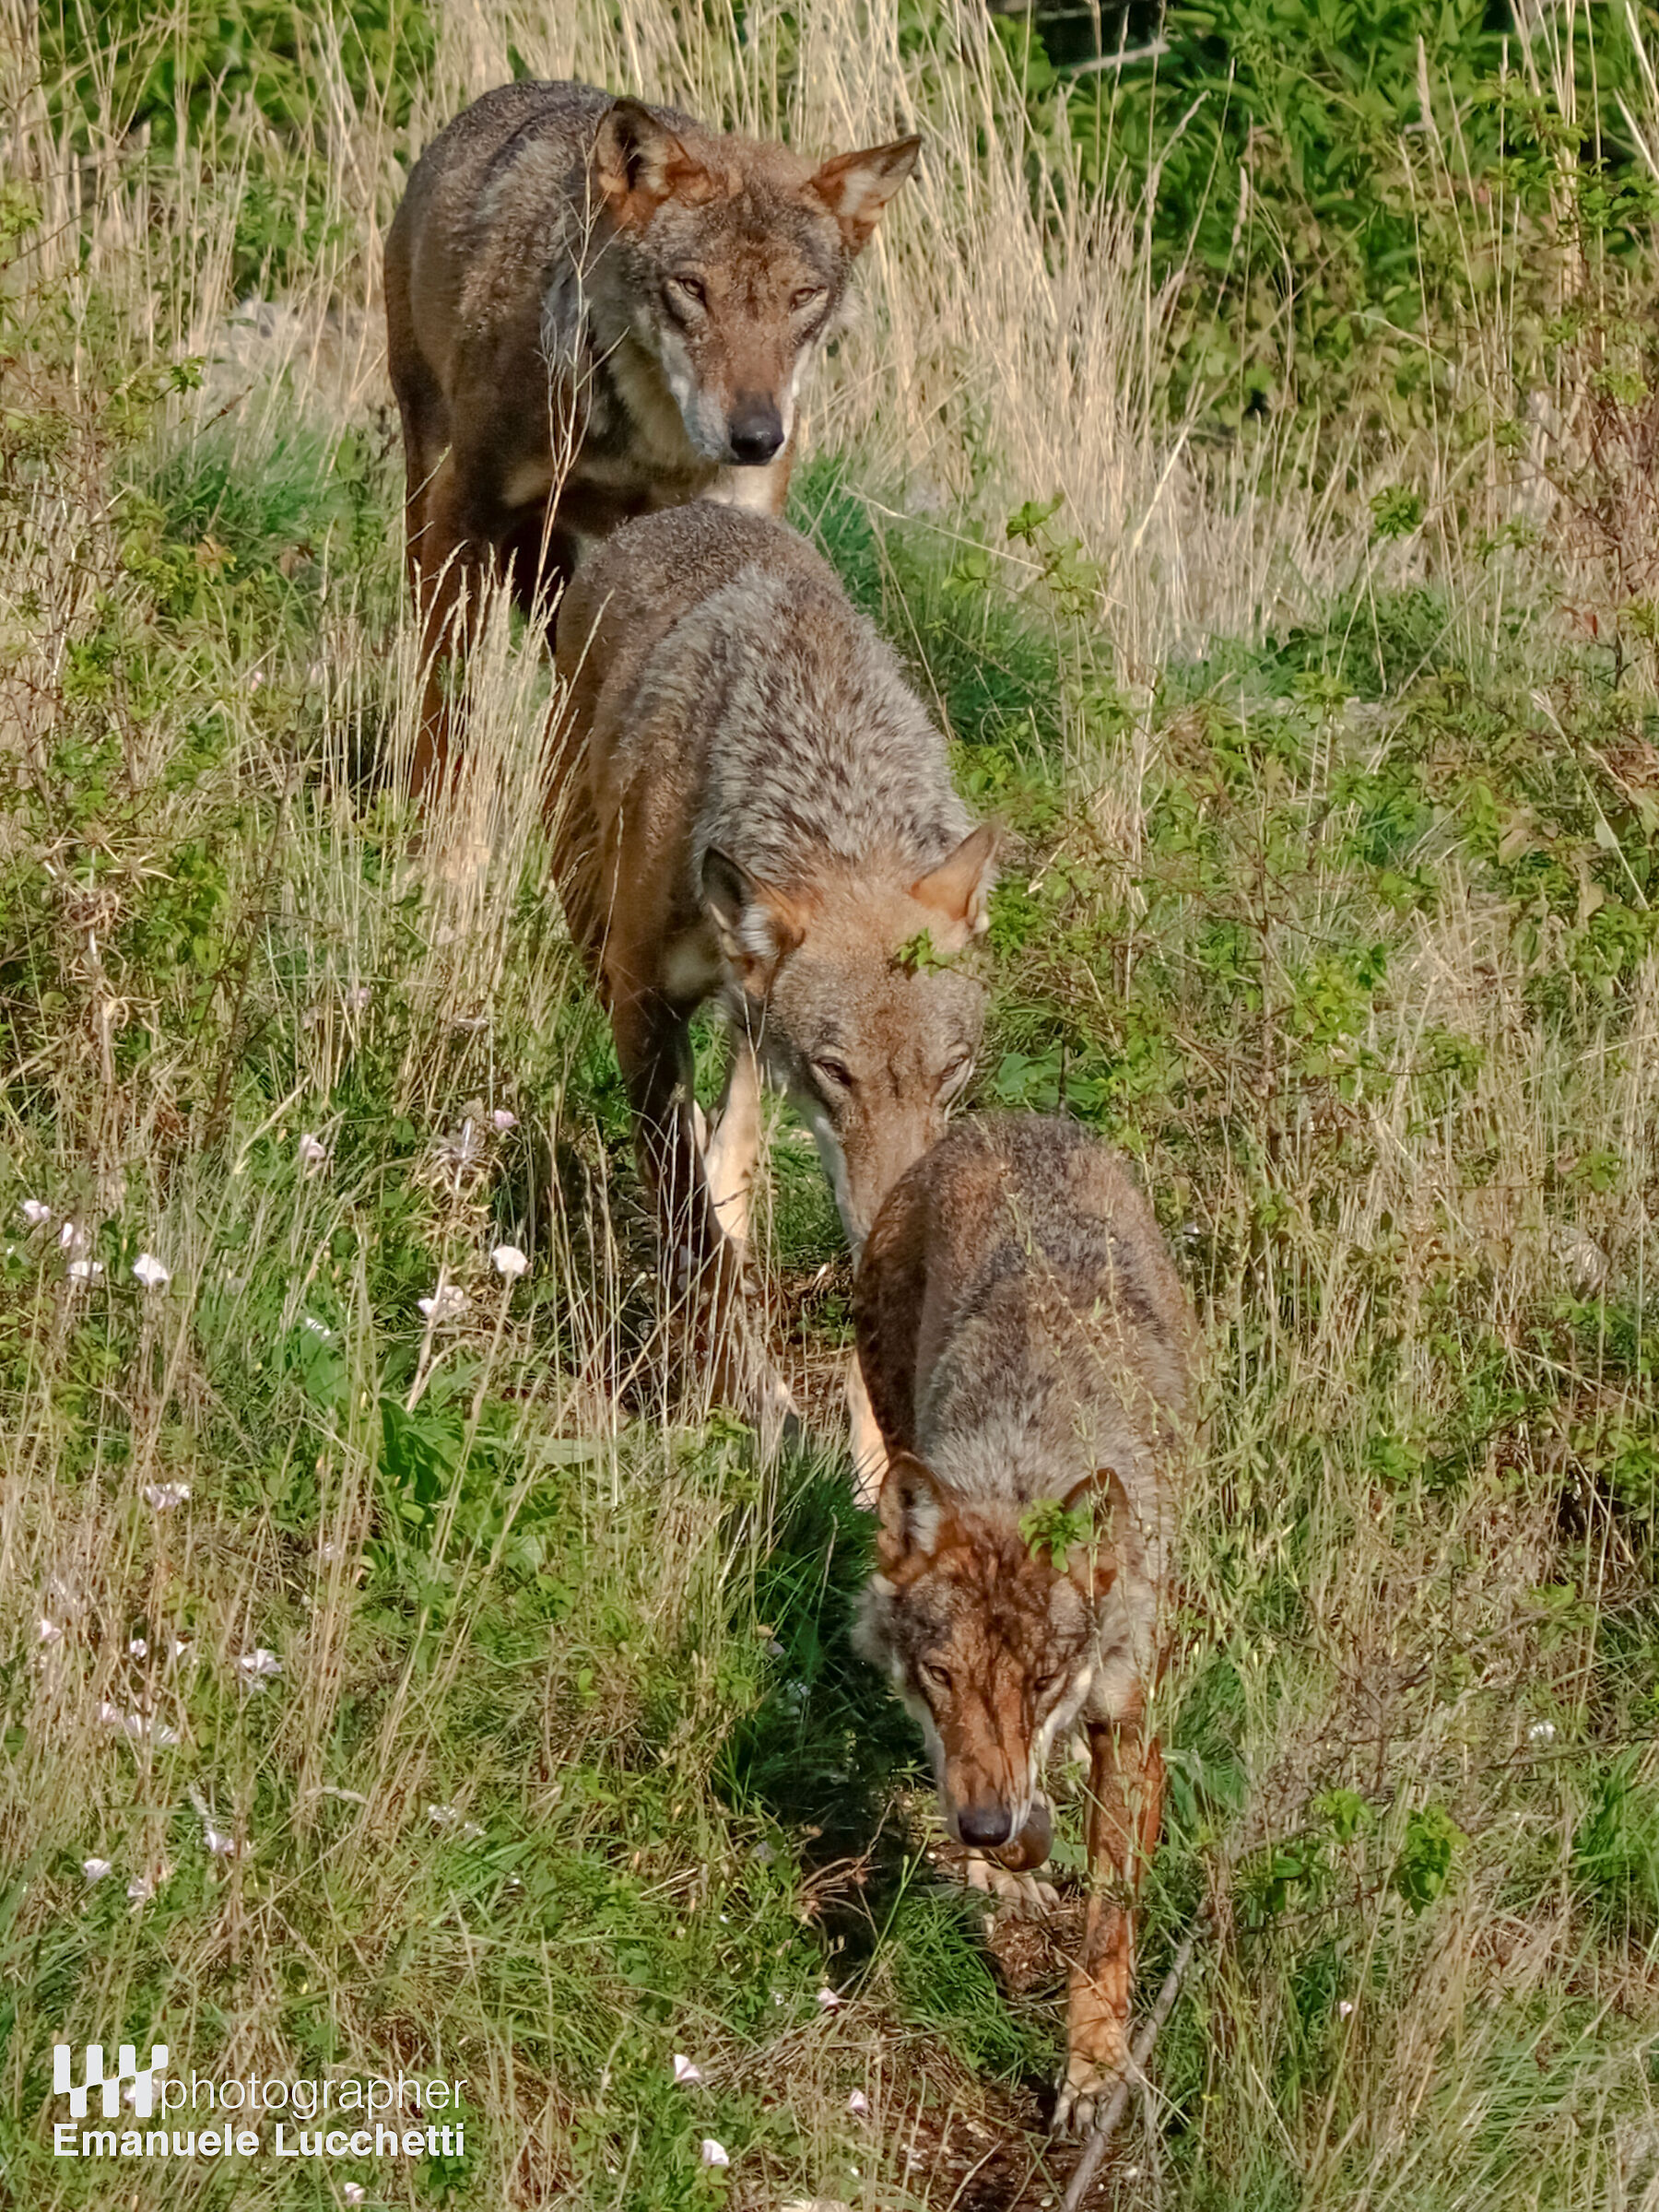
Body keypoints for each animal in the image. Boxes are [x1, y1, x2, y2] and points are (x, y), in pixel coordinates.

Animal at [385, 80, 918, 793]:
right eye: (692, 288)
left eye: (803, 297)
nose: (758, 439)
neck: (653, 447)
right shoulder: (466, 513)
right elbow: (447, 697)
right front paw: (431, 813)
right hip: (434, 489)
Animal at [551, 502, 996, 1458]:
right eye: (837, 1071)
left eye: (951, 1072)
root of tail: (686, 511)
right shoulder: (640, 1006)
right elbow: (692, 1227)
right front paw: (757, 1404)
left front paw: (873, 1463)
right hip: (588, 916)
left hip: (747, 1030)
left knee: (738, 1130)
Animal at [854, 1113, 1194, 2133]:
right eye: (943, 1677)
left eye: (1042, 1680)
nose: (982, 1827)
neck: (1023, 1456)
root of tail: (1007, 1120)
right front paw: (1013, 1857)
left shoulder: (1131, 1719)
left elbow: (1112, 1917)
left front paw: (1093, 2069)